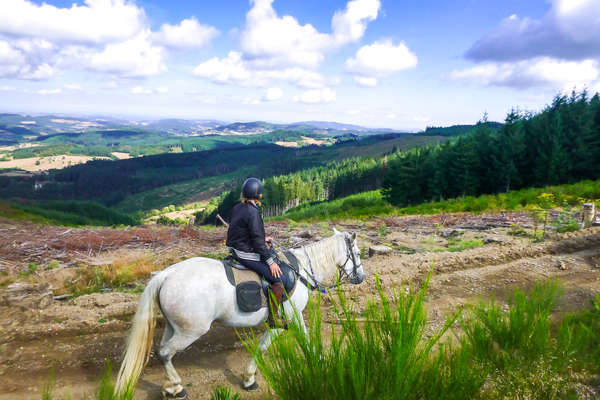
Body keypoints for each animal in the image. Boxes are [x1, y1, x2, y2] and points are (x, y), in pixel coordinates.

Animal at [113, 230, 366, 398]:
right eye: (357, 252)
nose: (361, 278)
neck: (300, 269)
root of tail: (165, 275)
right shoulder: (290, 318)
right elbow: (292, 341)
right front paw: (320, 363)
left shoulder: (281, 321)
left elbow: (269, 345)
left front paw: (250, 379)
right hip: (191, 330)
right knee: (165, 352)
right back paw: (177, 387)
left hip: (173, 326)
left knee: (162, 351)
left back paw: (170, 387)